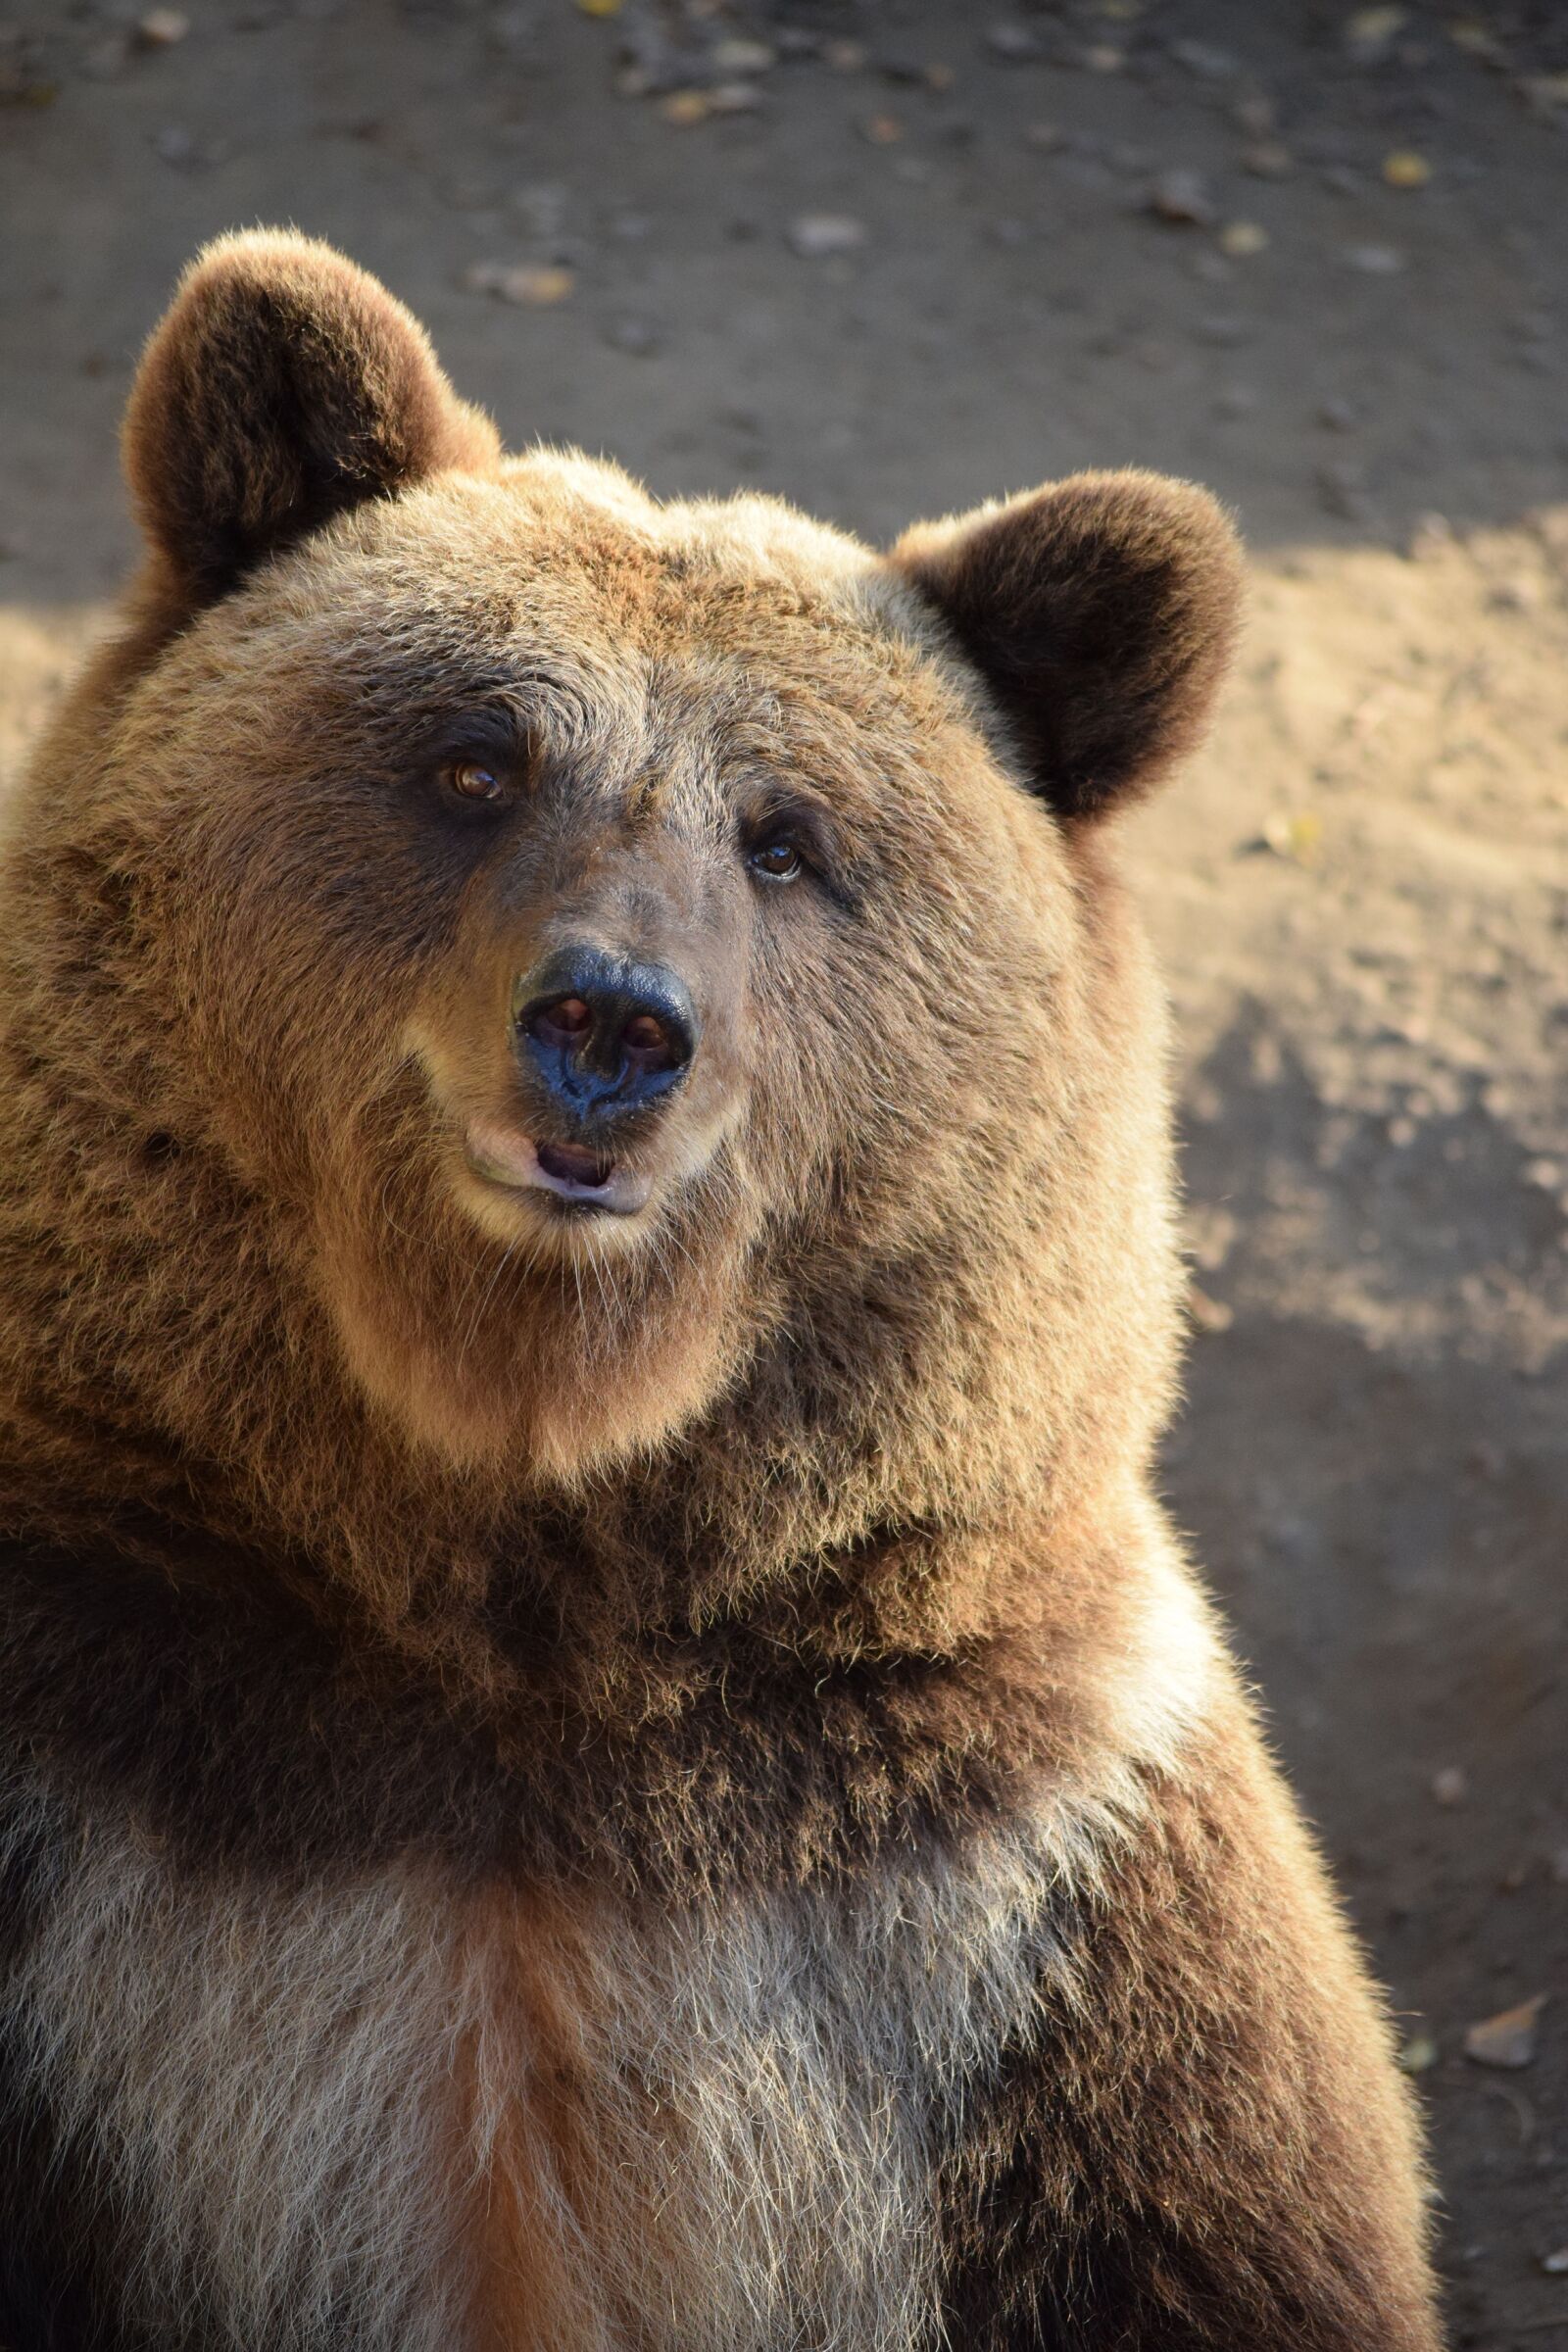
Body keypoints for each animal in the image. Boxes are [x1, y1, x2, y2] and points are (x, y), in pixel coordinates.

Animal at [0, 231, 1441, 2351]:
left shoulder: (1026, 1908)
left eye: (784, 838)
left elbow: (1211, 2222)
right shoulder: (99, 1798)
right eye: (473, 758)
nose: (611, 1025)